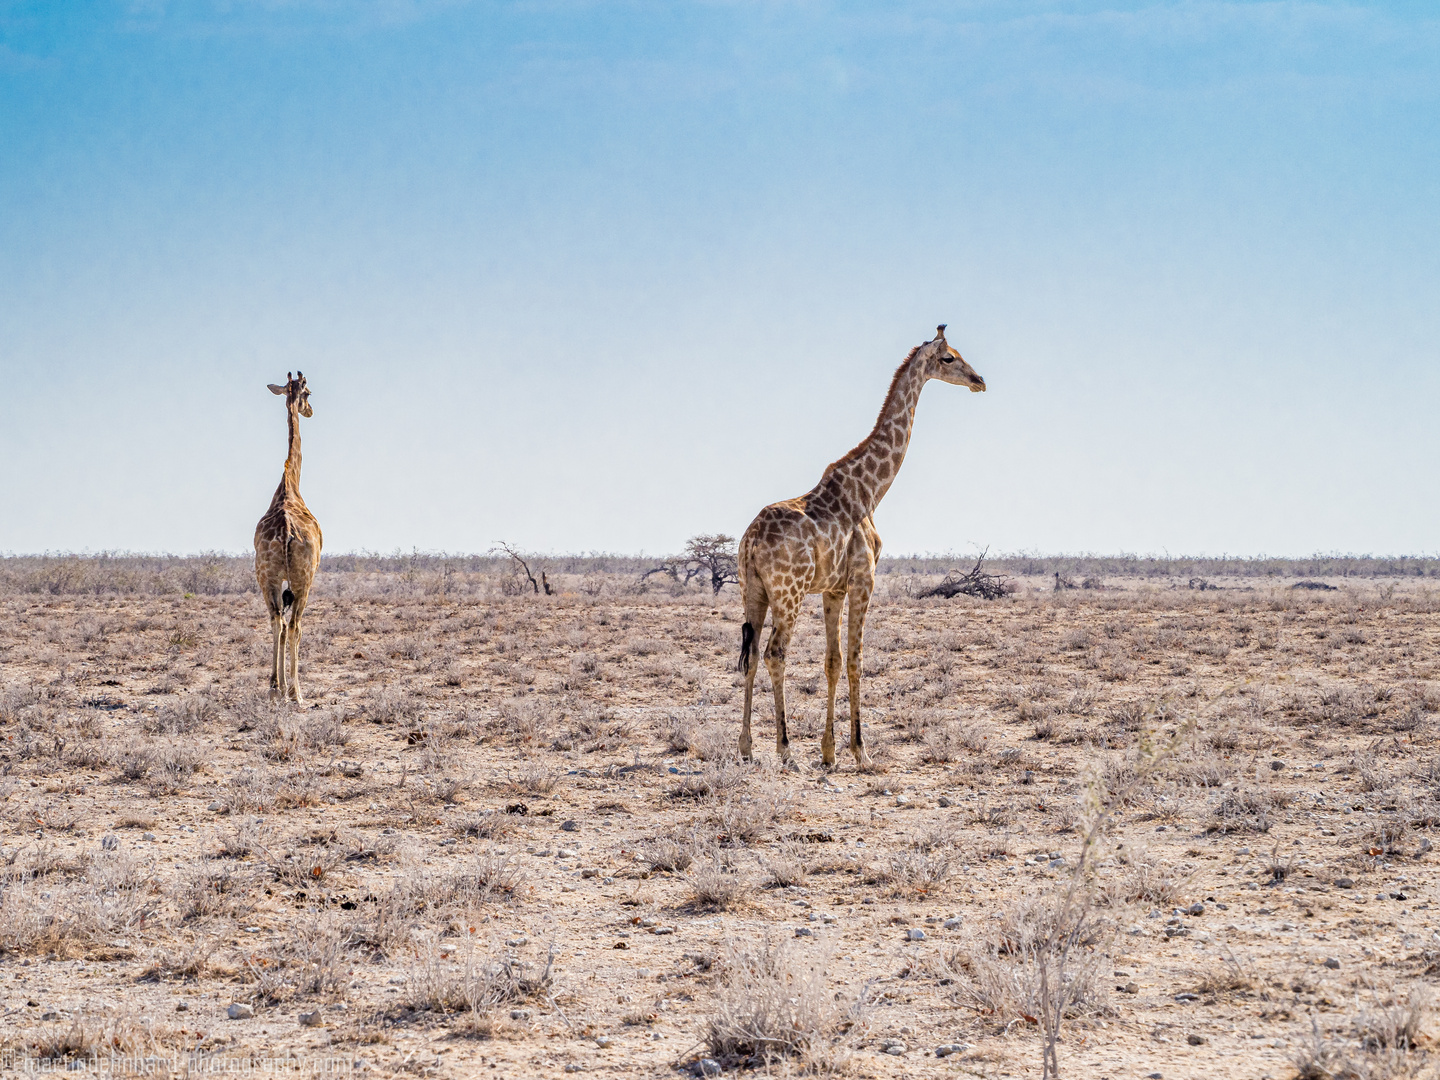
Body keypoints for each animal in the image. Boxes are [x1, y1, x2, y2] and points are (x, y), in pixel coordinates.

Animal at [737, 328, 984, 771]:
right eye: (950, 358)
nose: (979, 380)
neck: (870, 491)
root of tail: (750, 540)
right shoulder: (863, 582)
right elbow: (856, 661)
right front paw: (860, 751)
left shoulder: (834, 589)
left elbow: (833, 662)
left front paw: (830, 752)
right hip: (788, 593)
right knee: (774, 653)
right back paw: (785, 750)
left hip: (754, 591)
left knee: (748, 656)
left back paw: (746, 747)